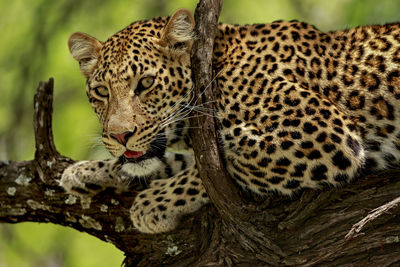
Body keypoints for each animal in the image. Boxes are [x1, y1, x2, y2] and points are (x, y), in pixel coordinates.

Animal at [61, 8, 400, 234]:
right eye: (101, 91)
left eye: (145, 83)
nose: (120, 135)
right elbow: (173, 162)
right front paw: (88, 171)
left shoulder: (327, 134)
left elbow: (223, 165)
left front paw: (153, 203)